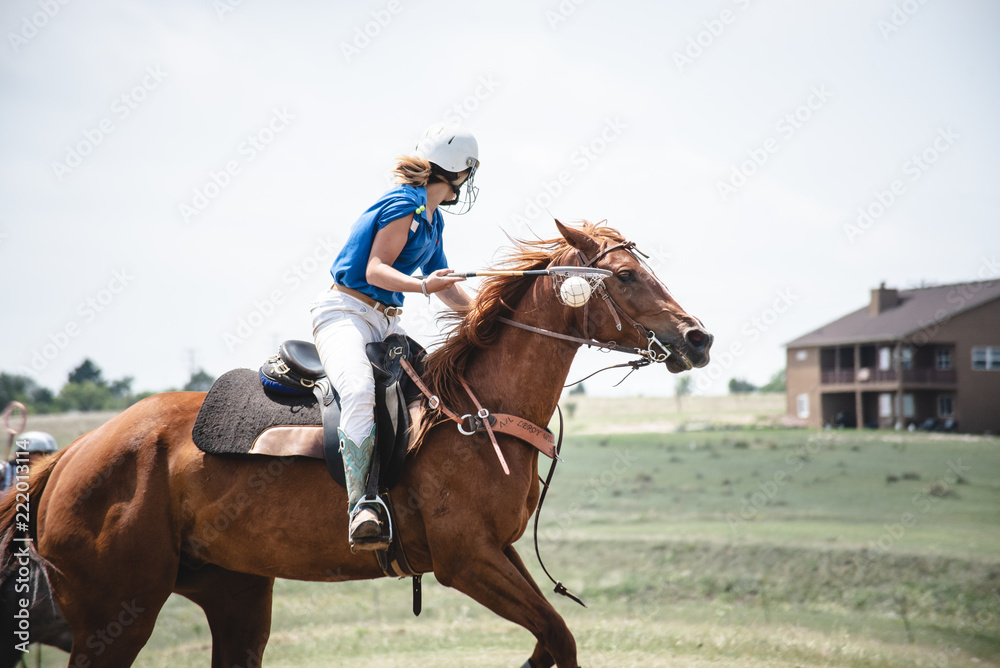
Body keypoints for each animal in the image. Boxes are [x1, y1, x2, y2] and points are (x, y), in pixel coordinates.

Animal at [0, 220, 712, 668]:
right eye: (626, 277)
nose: (698, 337)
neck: (477, 410)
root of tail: (72, 454)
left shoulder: (498, 552)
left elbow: (553, 640)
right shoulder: (466, 561)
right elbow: (556, 636)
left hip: (234, 594)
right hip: (116, 614)